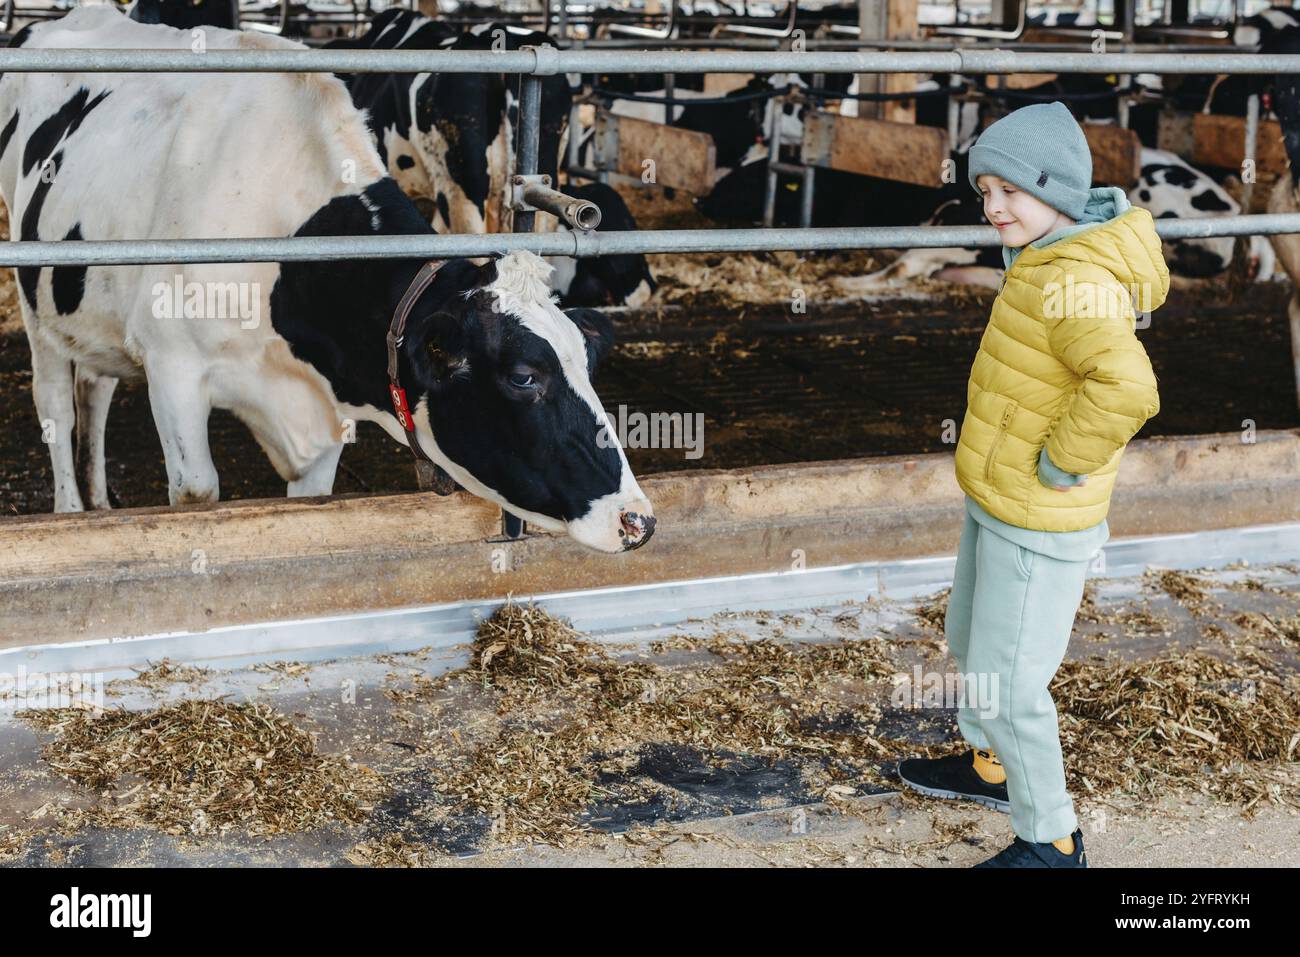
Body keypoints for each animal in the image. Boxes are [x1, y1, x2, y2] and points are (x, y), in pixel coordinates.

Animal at [0, 9, 655, 553]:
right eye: (524, 377)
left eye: (587, 362)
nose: (638, 519)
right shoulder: (173, 368)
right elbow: (197, 495)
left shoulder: (324, 405)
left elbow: (311, 501)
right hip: (36, 300)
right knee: (57, 405)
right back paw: (70, 510)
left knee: (95, 390)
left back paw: (99, 502)